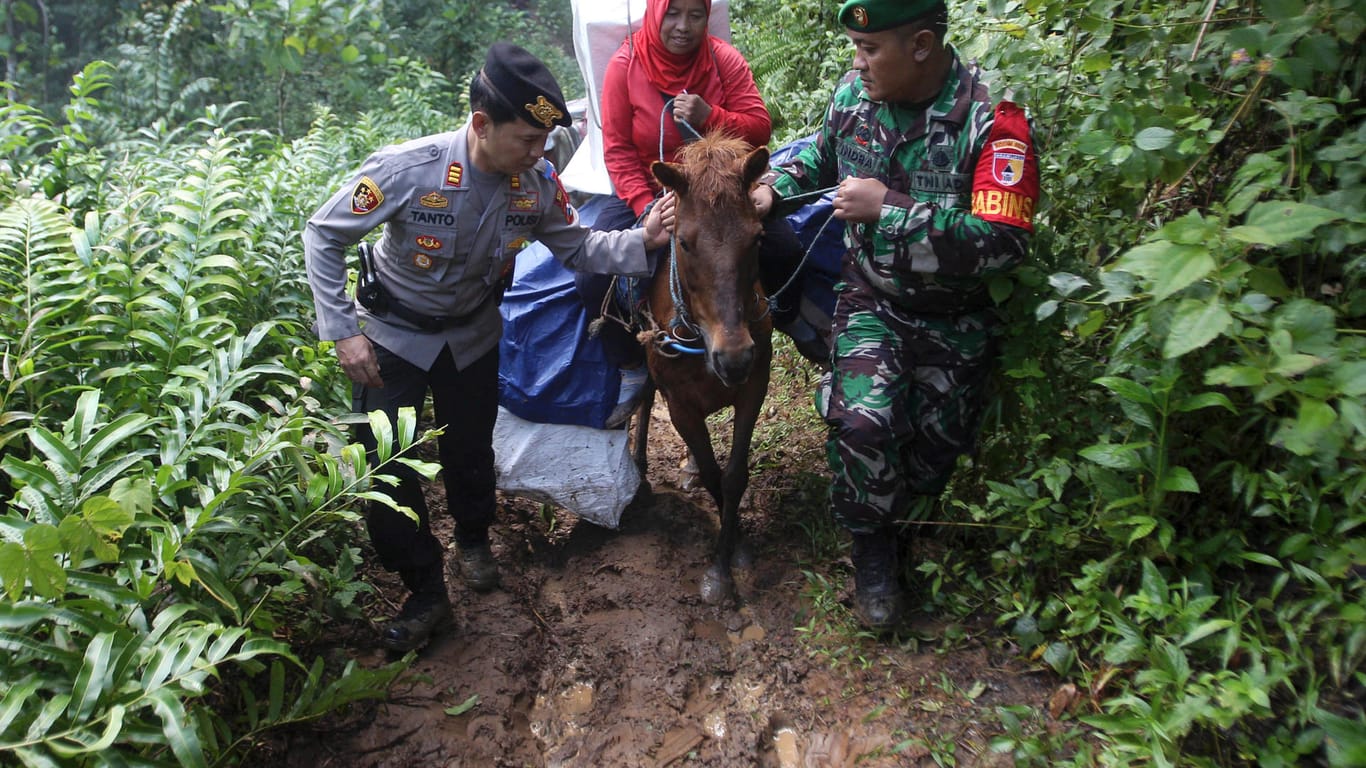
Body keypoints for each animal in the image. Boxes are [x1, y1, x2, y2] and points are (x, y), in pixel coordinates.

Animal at [631, 135, 775, 604]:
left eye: (757, 237)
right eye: (685, 242)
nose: (734, 357)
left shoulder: (754, 386)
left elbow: (732, 476)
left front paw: (734, 553)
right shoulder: (680, 406)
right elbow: (715, 474)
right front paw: (720, 568)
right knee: (643, 398)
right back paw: (639, 469)